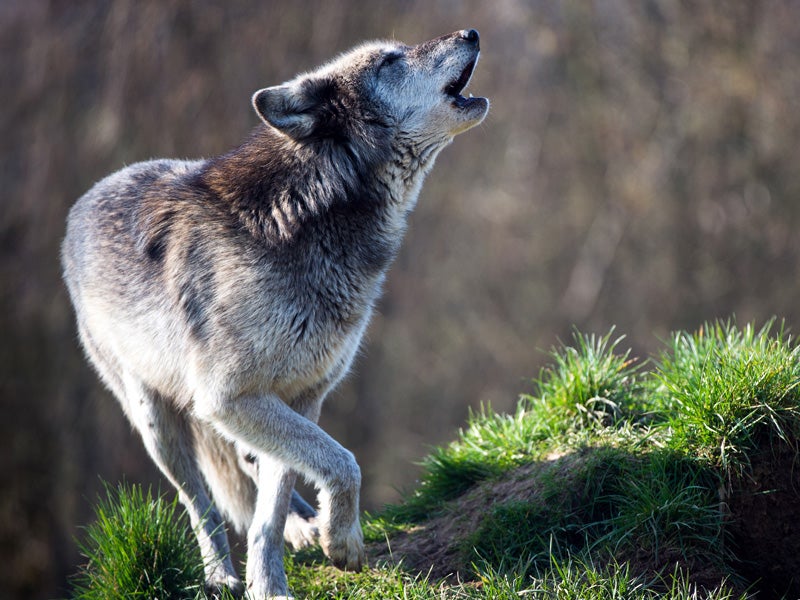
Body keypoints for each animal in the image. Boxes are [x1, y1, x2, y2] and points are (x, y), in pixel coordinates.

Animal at [61, 29, 488, 600]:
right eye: (390, 60)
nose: (471, 33)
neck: (309, 214)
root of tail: (80, 205)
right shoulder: (228, 397)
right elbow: (344, 462)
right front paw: (340, 542)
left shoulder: (301, 395)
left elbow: (278, 499)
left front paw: (276, 577)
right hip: (157, 423)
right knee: (199, 503)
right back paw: (221, 576)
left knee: (251, 467)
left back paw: (300, 529)